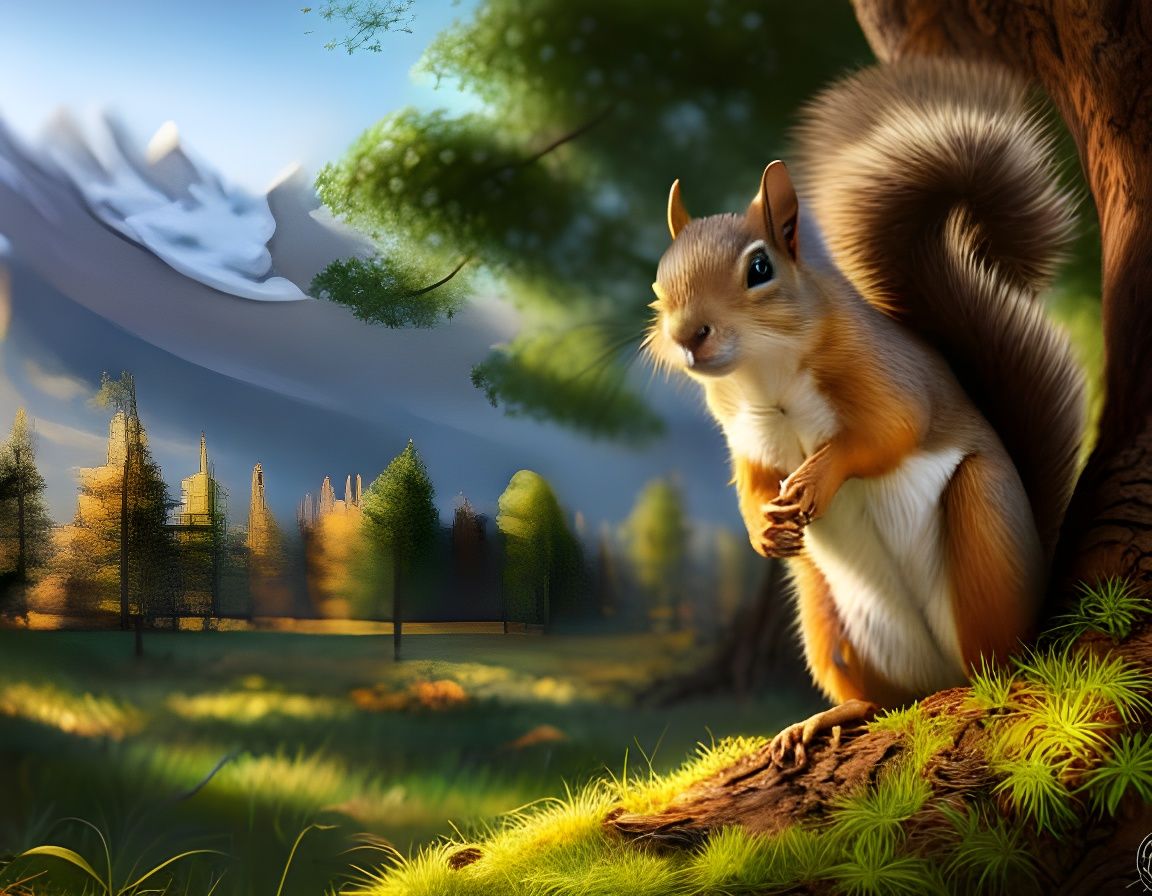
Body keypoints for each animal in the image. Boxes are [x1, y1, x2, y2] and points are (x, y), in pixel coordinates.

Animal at [646, 58, 1086, 765]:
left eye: (760, 268)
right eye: (659, 283)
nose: (689, 336)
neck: (764, 375)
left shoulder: (887, 376)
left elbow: (886, 433)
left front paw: (819, 477)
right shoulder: (745, 436)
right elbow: (752, 485)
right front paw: (763, 528)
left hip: (983, 530)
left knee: (993, 658)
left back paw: (990, 678)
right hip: (824, 615)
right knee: (884, 697)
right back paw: (831, 716)